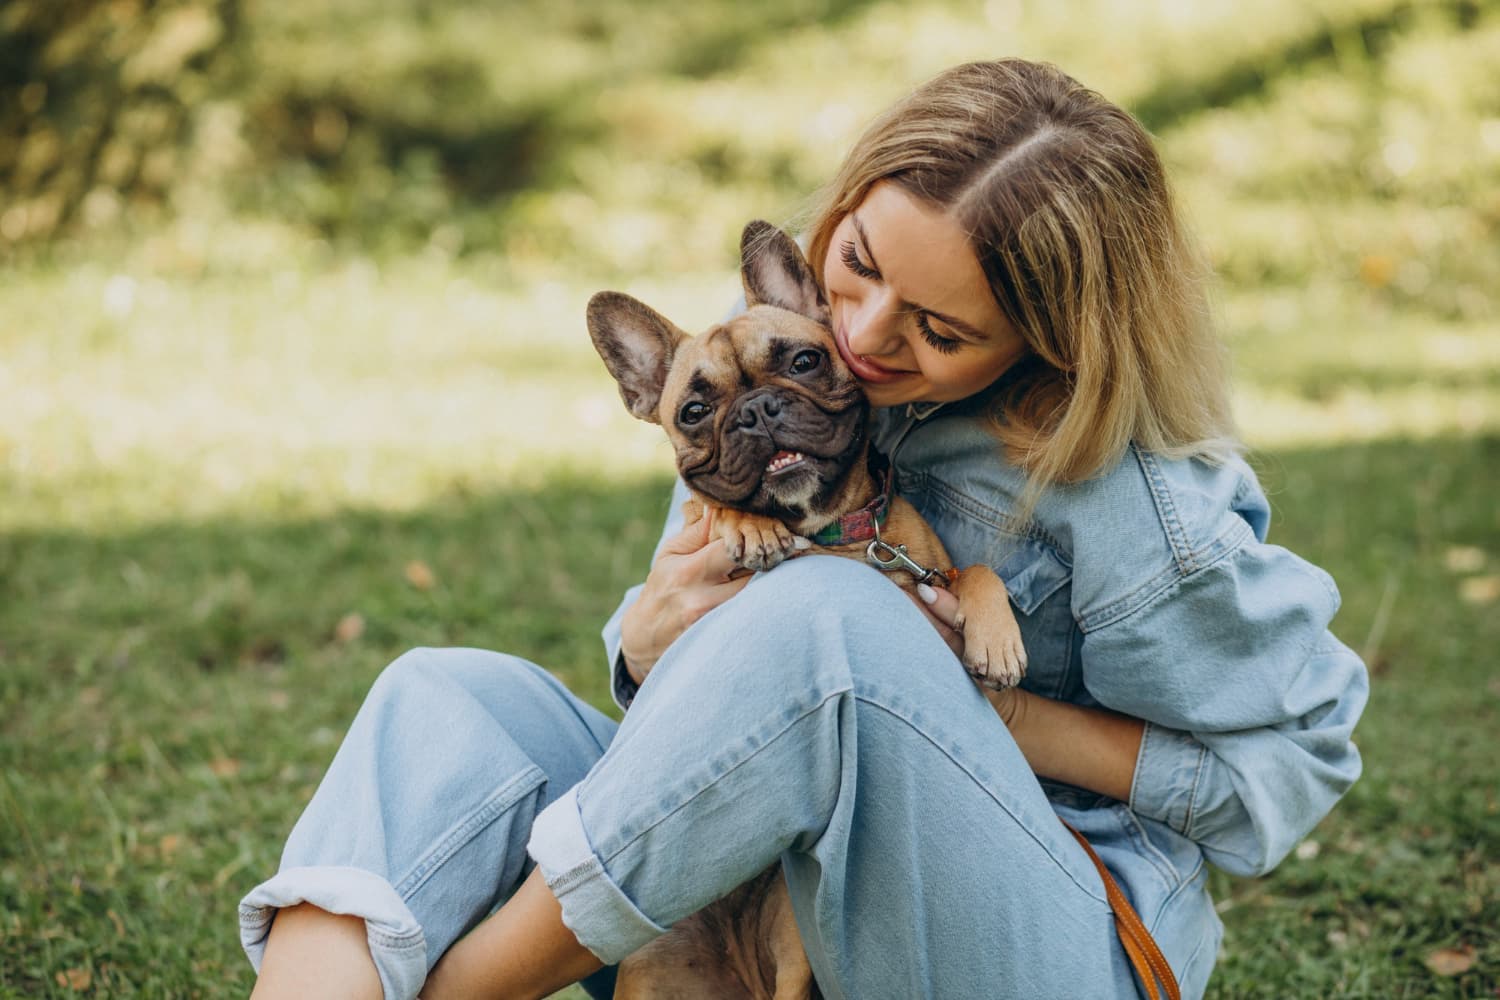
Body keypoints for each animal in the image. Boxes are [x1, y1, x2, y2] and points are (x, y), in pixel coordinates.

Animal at [579, 223, 1026, 995]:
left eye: (805, 360)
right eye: (693, 411)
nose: (757, 410)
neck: (832, 531)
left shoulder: (933, 568)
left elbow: (976, 569)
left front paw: (997, 637)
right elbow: (714, 505)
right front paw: (749, 527)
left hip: (790, 936)